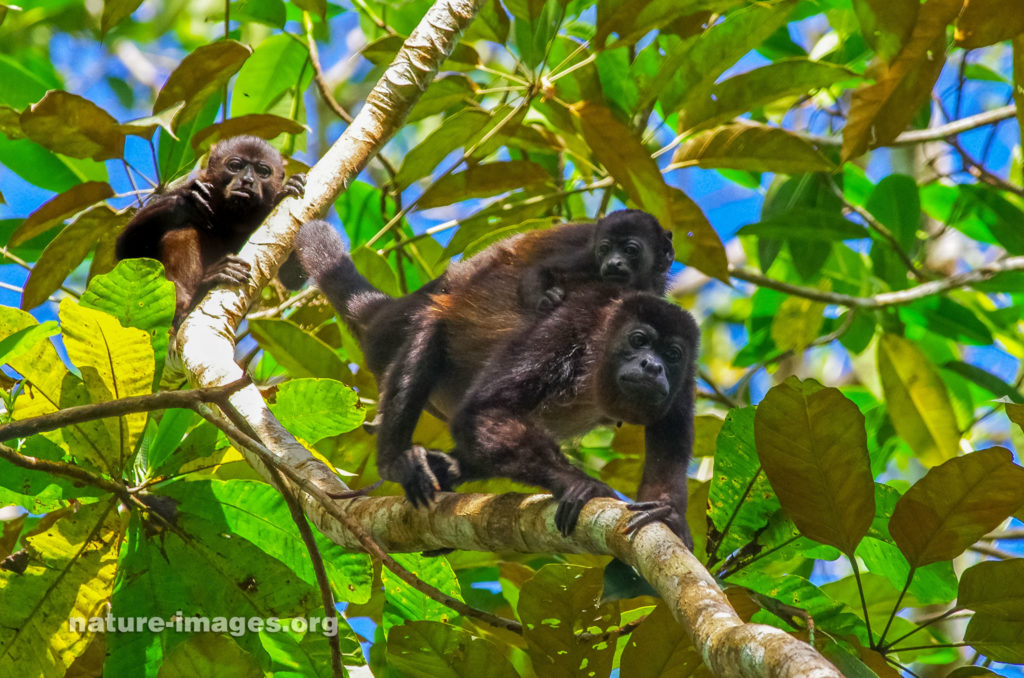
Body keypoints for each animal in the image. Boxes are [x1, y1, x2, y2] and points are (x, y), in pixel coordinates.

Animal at [116, 135, 305, 327]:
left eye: (262, 171)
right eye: (235, 166)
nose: (247, 180)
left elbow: (291, 277)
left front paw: (287, 189)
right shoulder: (194, 184)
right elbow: (127, 249)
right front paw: (187, 203)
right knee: (186, 232)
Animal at [292, 218, 700, 548]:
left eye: (672, 355)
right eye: (639, 340)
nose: (652, 367)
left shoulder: (685, 379)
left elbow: (668, 450)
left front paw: (668, 514)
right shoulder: (570, 322)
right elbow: (484, 410)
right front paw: (579, 485)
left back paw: (447, 469)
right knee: (427, 338)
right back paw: (396, 460)